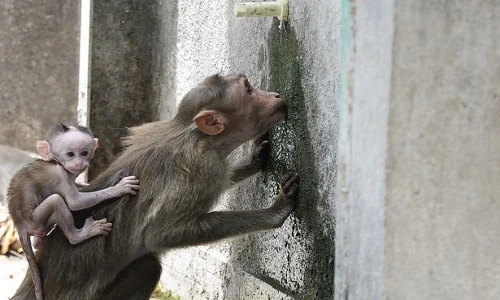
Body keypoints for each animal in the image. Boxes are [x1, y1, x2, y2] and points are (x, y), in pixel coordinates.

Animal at [7, 123, 140, 300]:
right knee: (57, 201)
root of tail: (19, 223)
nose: (79, 163)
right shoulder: (59, 176)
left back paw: (39, 240)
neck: (57, 164)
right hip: (34, 219)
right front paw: (118, 188)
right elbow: (74, 203)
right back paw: (80, 235)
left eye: (84, 153)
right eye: (70, 154)